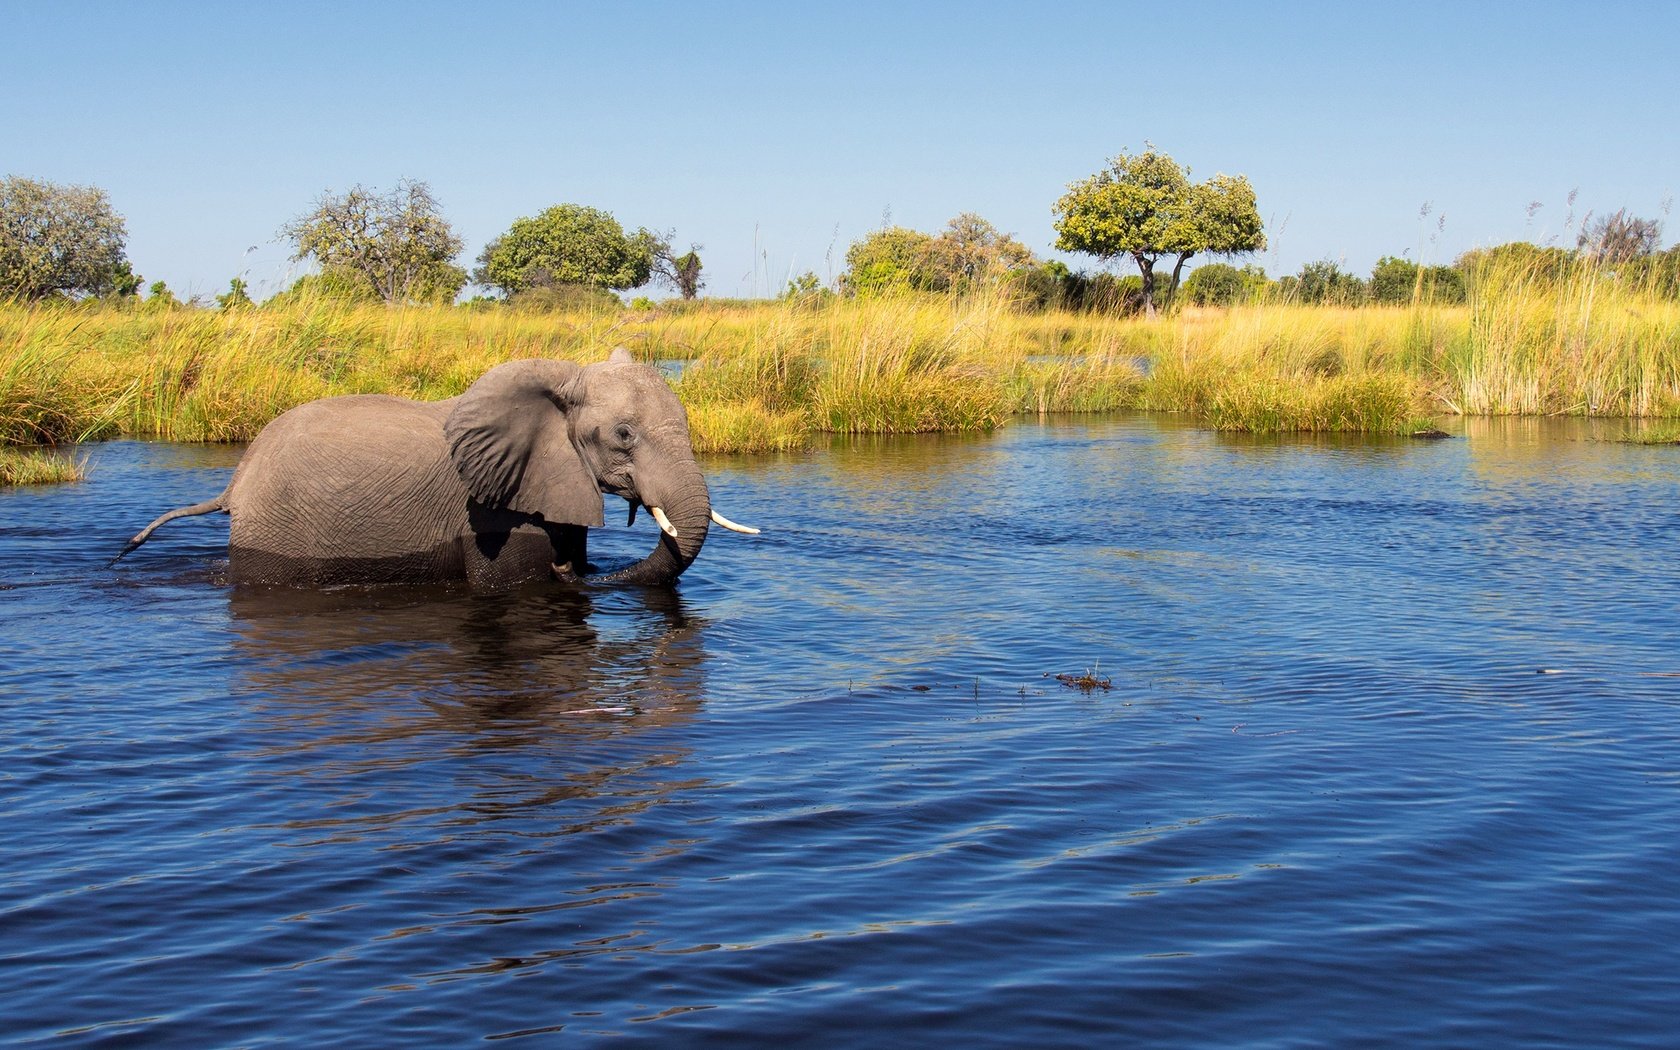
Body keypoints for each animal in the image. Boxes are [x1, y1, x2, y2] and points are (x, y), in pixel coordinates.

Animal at [111, 346, 756, 584]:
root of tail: (234, 483)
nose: (574, 575)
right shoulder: (492, 506)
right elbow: (509, 583)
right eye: (623, 436)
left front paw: (572, 568)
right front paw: (556, 574)